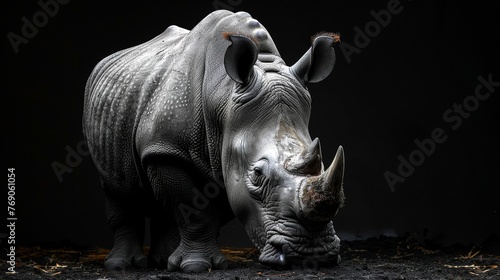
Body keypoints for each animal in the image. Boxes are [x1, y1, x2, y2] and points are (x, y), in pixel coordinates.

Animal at [84, 9, 346, 272]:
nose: (312, 253)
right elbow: (196, 212)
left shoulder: (219, 159)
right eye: (257, 174)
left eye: (324, 165)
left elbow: (206, 208)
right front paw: (196, 267)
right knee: (116, 189)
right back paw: (121, 265)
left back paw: (162, 261)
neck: (225, 97)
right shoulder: (167, 149)